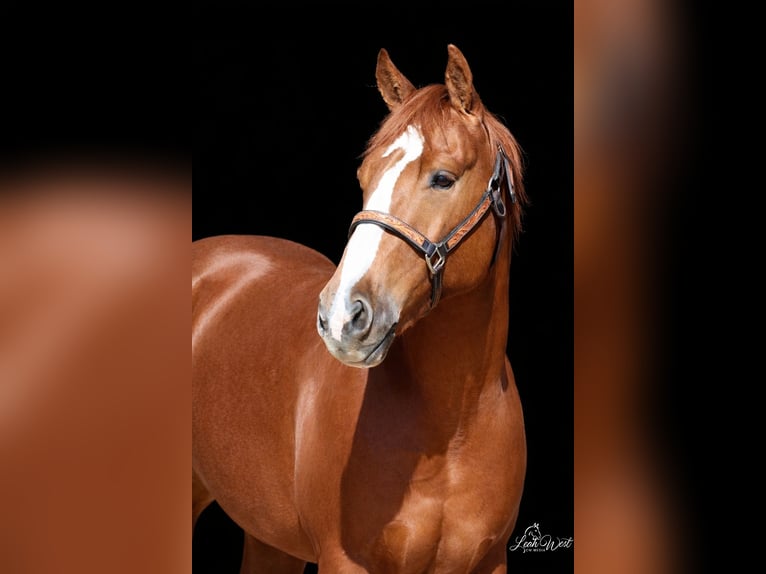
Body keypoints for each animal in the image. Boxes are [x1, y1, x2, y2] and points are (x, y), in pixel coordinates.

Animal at [193, 44, 528, 573]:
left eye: (443, 179)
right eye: (364, 177)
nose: (340, 318)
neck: (452, 433)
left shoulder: (490, 561)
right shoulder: (344, 559)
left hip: (268, 538)